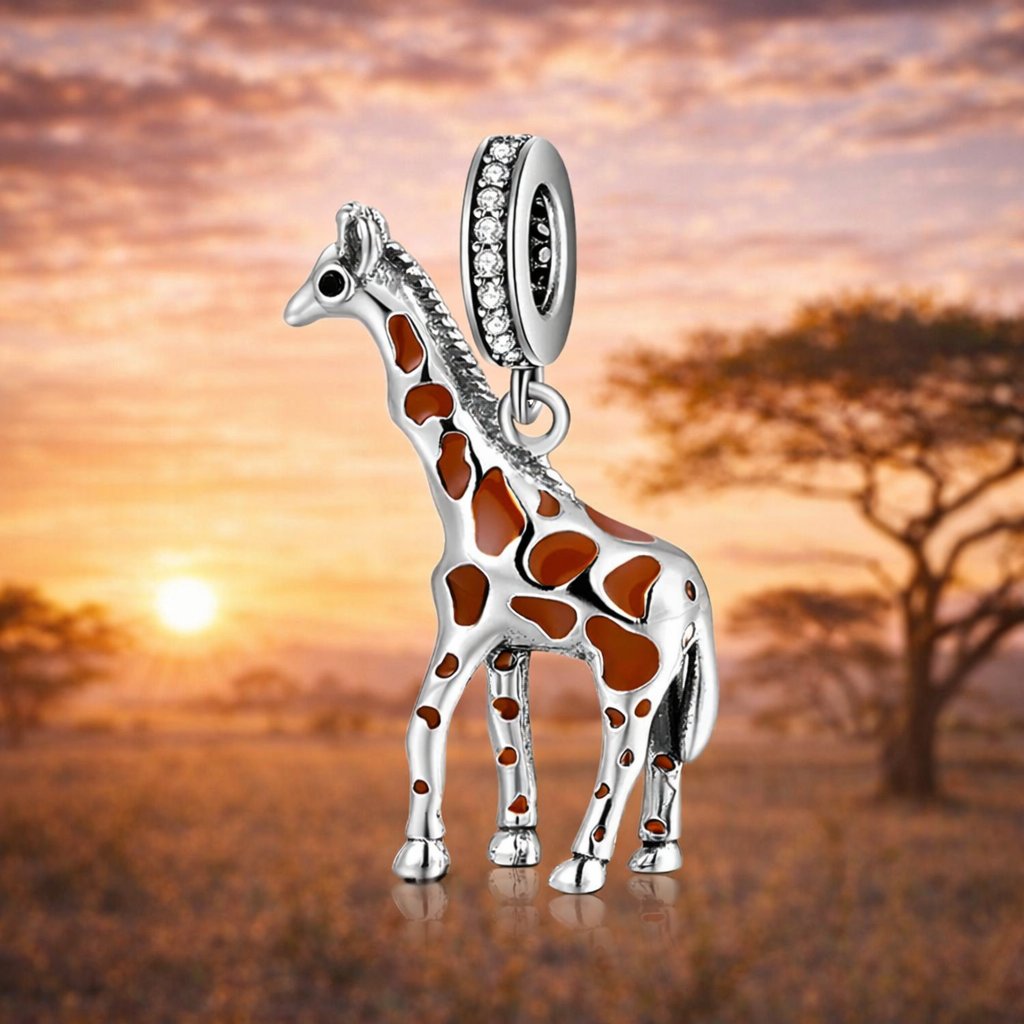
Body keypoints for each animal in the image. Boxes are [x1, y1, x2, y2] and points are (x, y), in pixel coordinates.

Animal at [284, 202, 719, 894]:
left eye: (330, 279)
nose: (290, 311)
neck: (469, 504)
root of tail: (696, 591)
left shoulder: (465, 625)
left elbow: (423, 723)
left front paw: (421, 856)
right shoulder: (508, 648)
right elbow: (509, 737)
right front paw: (513, 844)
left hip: (630, 674)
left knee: (623, 755)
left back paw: (583, 867)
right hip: (676, 675)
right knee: (666, 753)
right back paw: (654, 855)